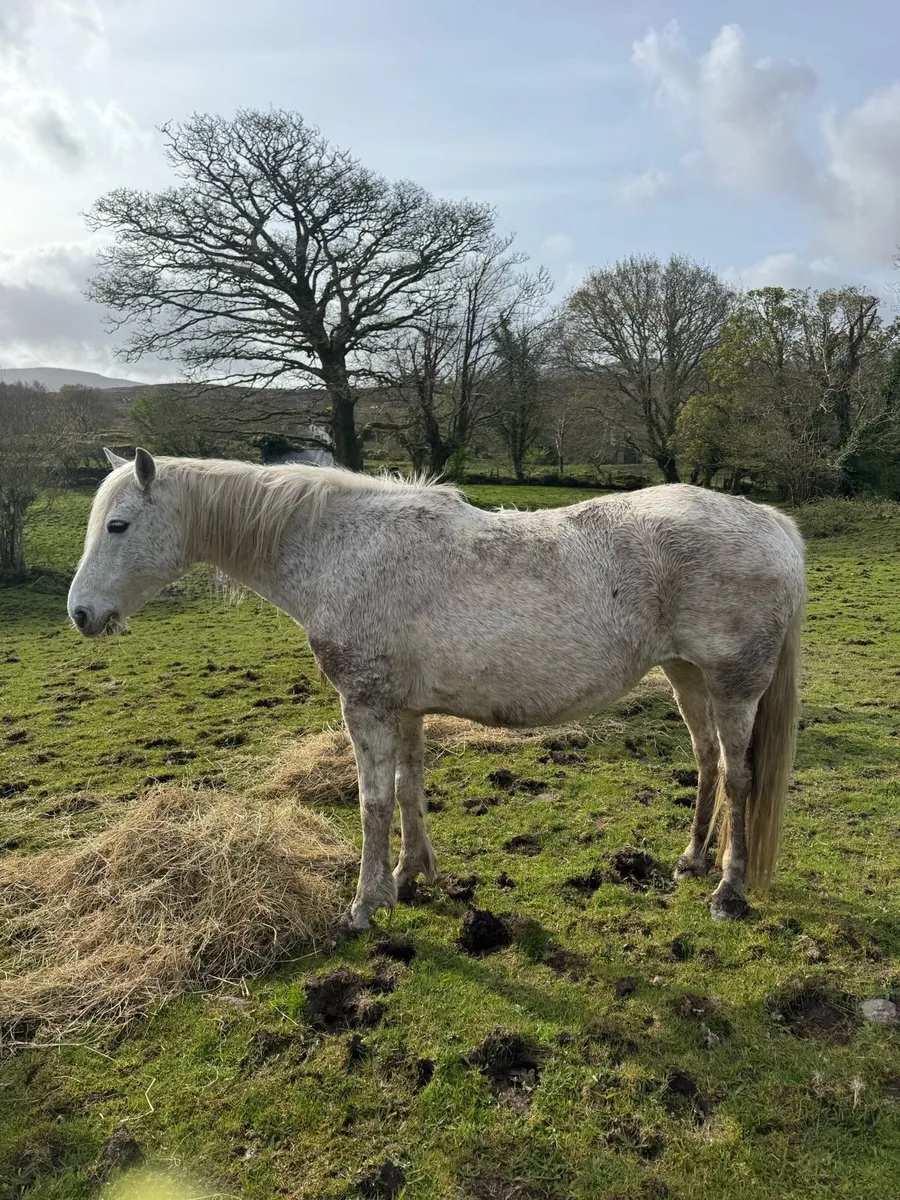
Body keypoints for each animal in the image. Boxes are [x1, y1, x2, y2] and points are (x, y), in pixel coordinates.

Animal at [67, 449, 806, 931]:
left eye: (118, 526)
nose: (80, 614)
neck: (341, 548)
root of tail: (772, 524)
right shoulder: (405, 708)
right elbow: (407, 788)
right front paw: (410, 876)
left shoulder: (365, 705)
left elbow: (371, 802)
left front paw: (365, 905)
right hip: (686, 676)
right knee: (707, 761)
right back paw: (691, 860)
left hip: (734, 686)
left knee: (739, 777)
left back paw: (729, 891)